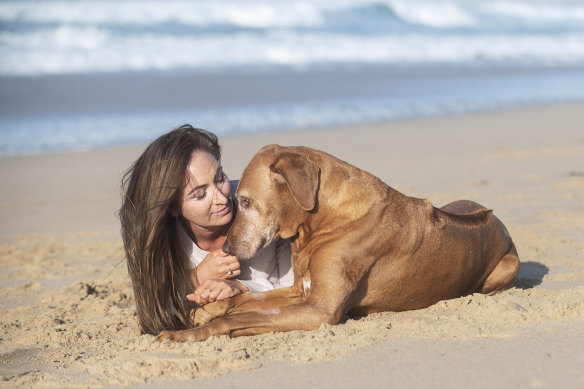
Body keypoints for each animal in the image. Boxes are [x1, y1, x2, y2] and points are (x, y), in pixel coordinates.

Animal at [156, 145, 520, 340]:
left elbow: (234, 319)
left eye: (244, 201)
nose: (227, 250)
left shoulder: (320, 310)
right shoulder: (299, 291)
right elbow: (238, 302)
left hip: (508, 267)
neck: (324, 220)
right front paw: (203, 309)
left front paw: (185, 334)